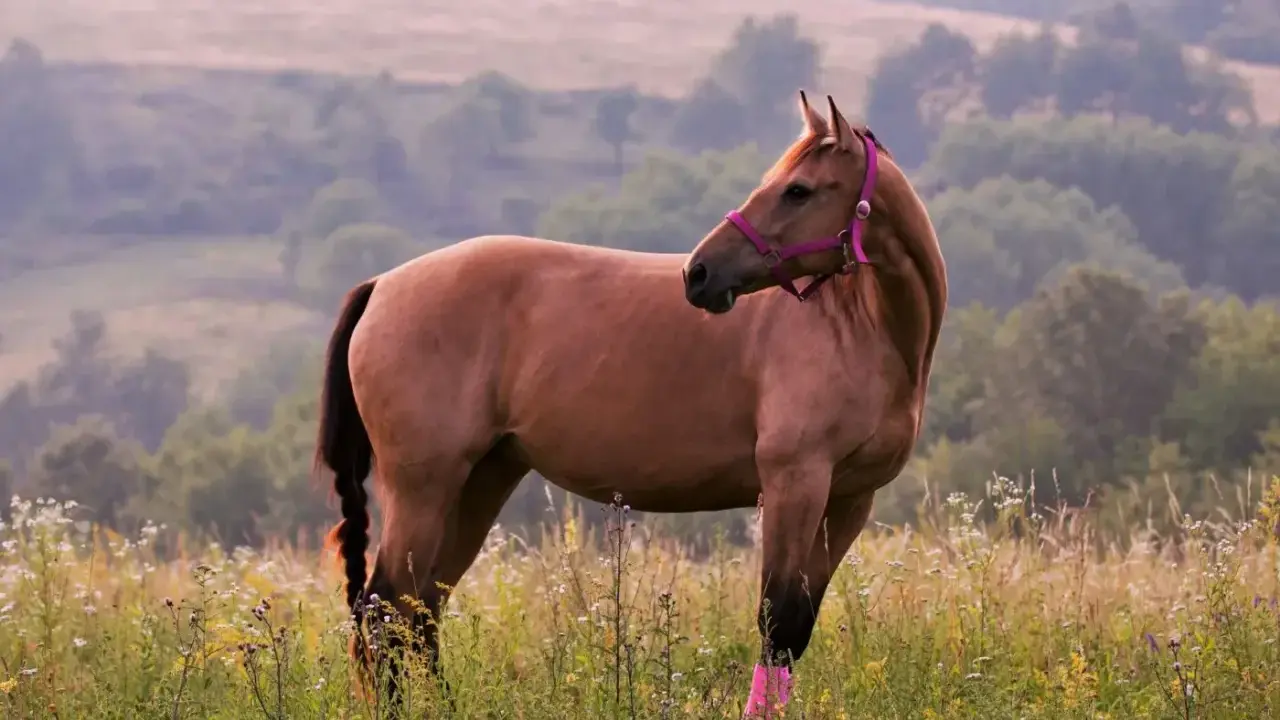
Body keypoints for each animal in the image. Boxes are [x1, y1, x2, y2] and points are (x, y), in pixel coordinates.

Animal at [314, 90, 946, 716]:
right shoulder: (796, 484)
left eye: (799, 190)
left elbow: (795, 631)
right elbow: (776, 622)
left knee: (421, 612)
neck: (859, 327)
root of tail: (382, 286)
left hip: (481, 481)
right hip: (423, 489)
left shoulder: (849, 500)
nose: (699, 273)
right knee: (387, 611)